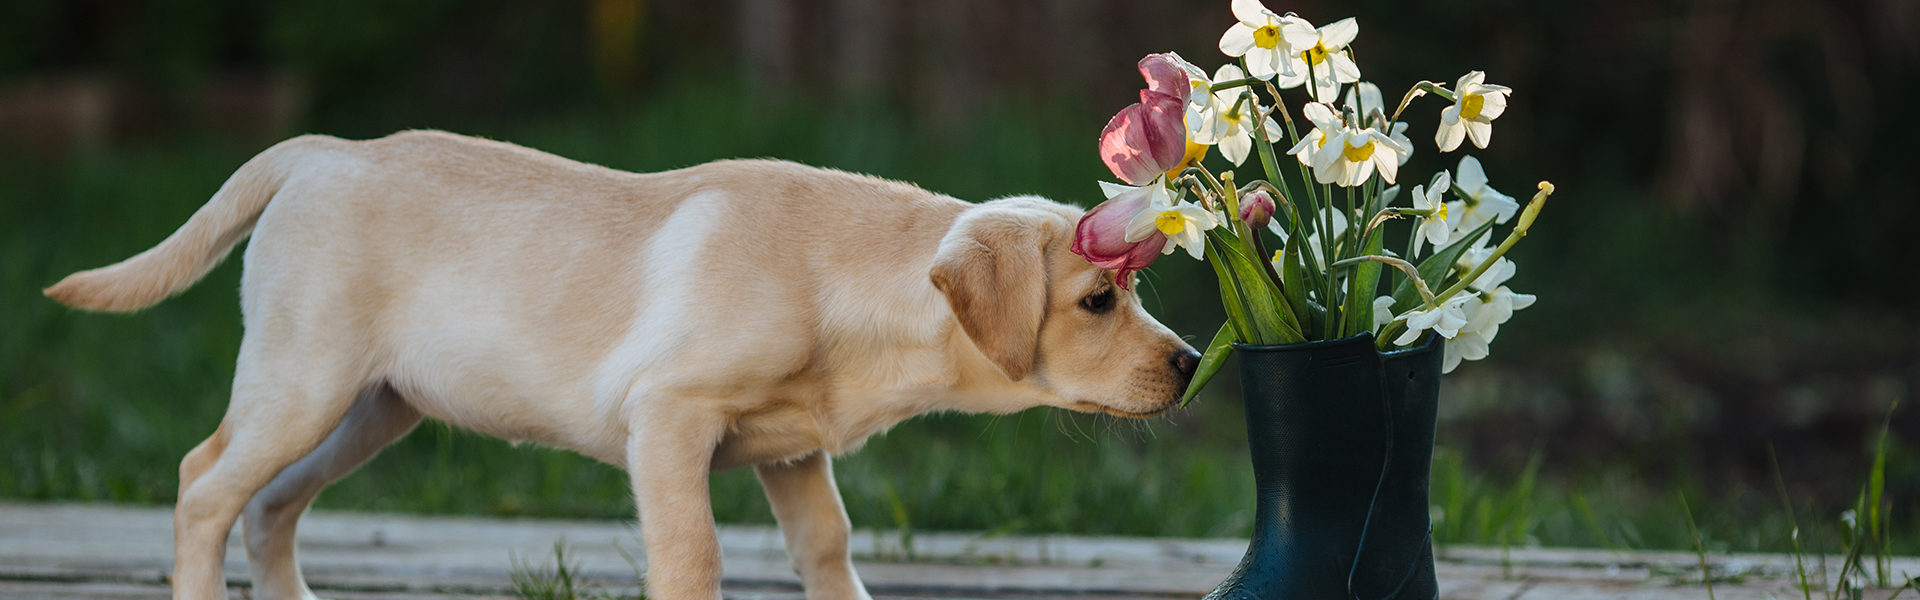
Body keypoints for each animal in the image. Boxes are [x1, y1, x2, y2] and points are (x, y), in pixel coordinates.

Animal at [45, 130, 1198, 600]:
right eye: (1099, 301)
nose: (1192, 367)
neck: (842, 284)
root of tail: (320, 150)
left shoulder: (794, 456)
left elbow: (829, 551)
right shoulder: (670, 421)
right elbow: (694, 558)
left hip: (374, 407)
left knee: (271, 507)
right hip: (303, 382)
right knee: (205, 486)